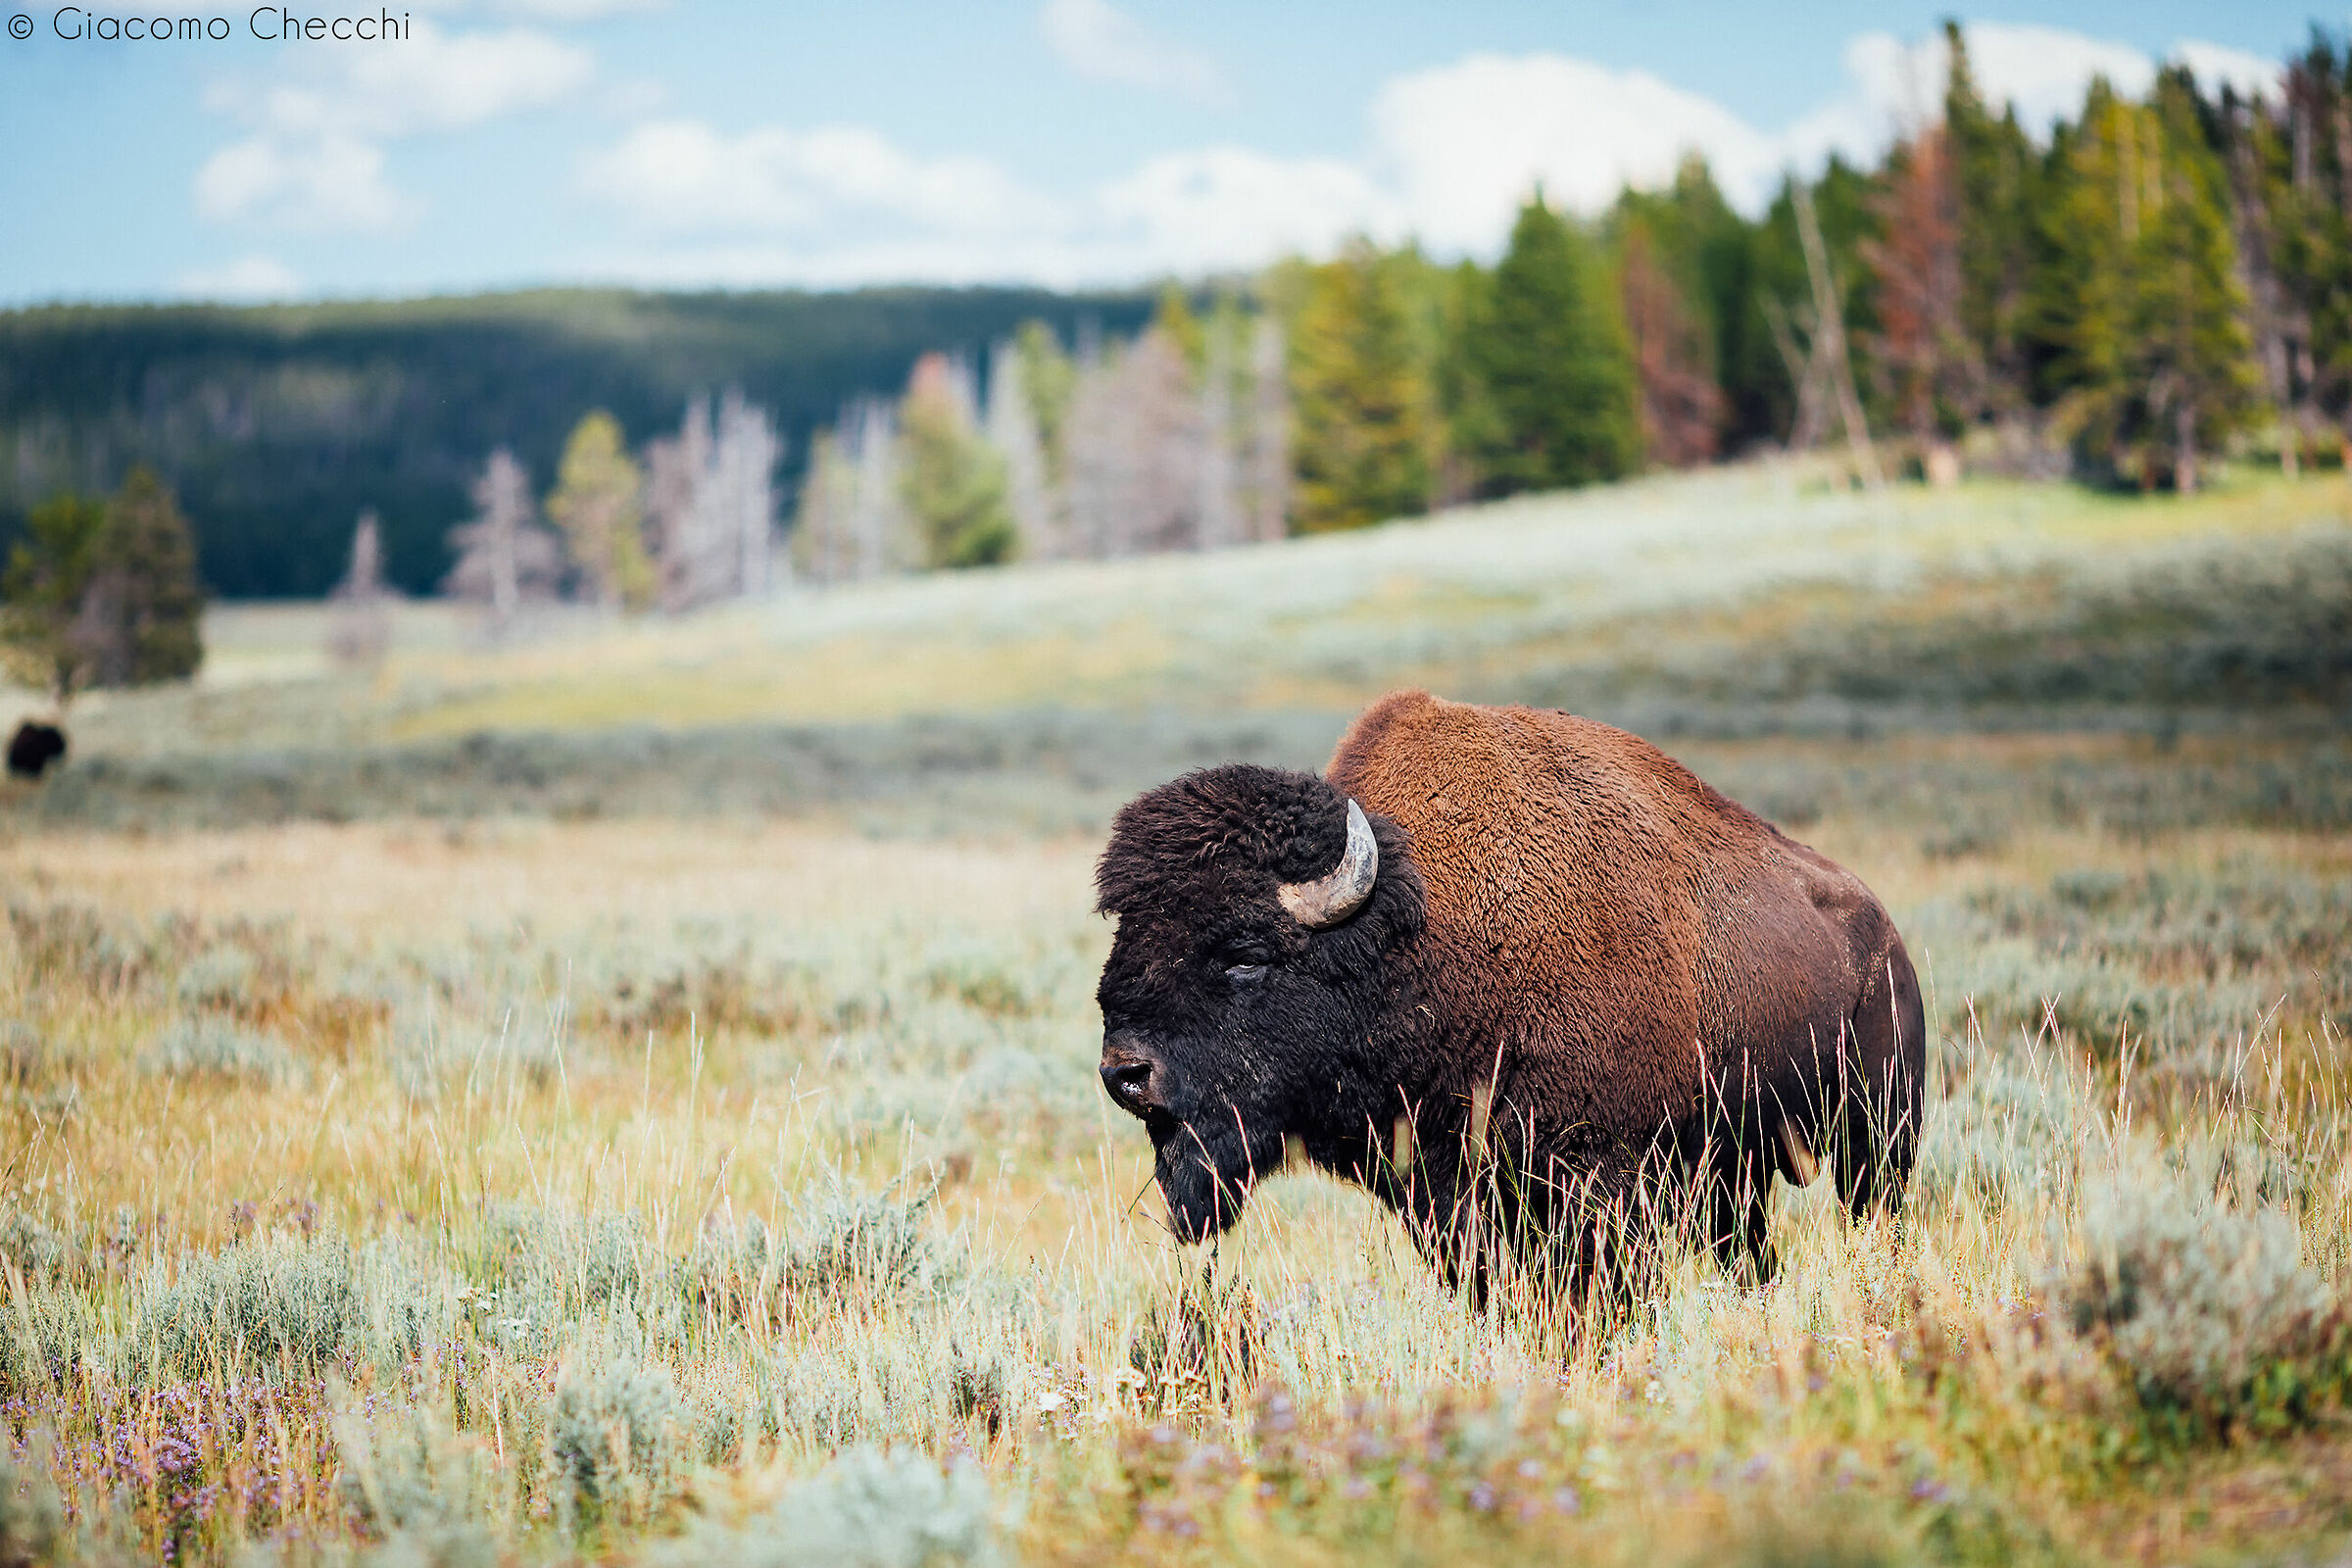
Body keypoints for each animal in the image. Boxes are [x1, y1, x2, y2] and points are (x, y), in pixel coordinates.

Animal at [1094, 691, 1924, 1305]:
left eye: (1245, 955)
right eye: (1122, 937)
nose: (1125, 1072)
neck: (1422, 938)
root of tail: (1884, 933)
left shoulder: (1601, 1171)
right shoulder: (1446, 1197)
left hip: (1876, 1139)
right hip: (1737, 1174)